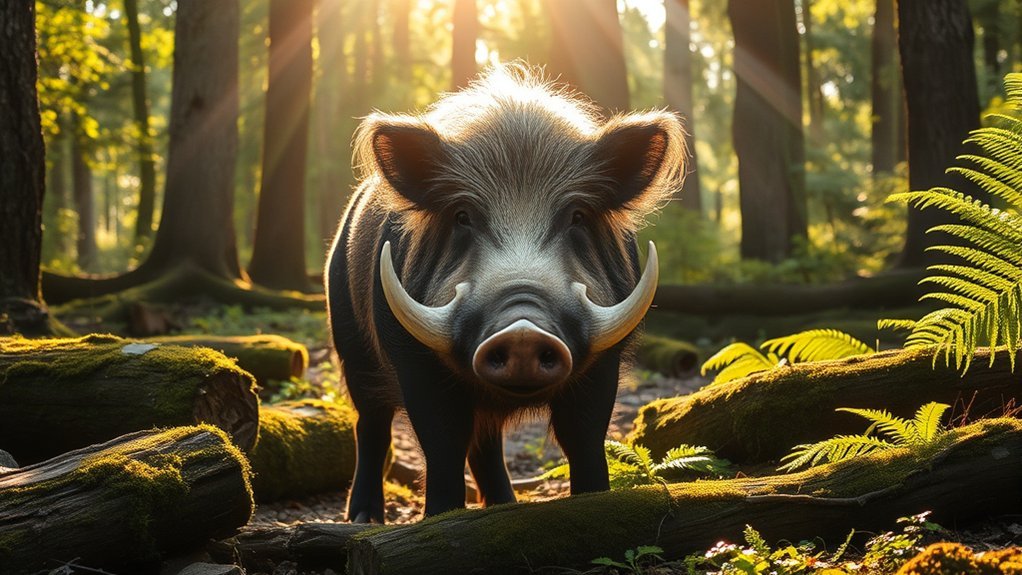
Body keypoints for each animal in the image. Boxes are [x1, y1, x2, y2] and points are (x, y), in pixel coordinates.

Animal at [326, 64, 686, 523]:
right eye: (462, 215)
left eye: (577, 215)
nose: (522, 332)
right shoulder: (411, 356)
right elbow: (442, 442)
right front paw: (437, 520)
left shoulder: (606, 357)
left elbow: (584, 439)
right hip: (351, 346)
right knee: (372, 424)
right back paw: (363, 519)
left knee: (486, 440)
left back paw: (506, 505)